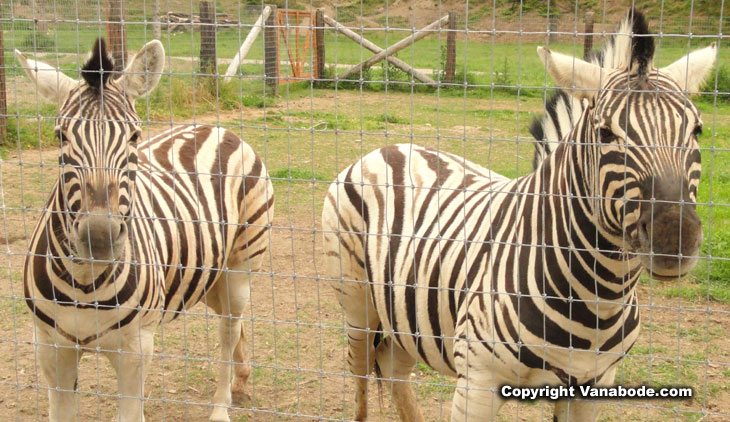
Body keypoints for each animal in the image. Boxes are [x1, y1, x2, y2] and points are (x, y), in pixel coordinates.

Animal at [19, 39, 274, 422]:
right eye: (60, 136)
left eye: (135, 136)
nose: (99, 239)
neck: (84, 280)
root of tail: (215, 127)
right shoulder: (50, 348)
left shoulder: (136, 350)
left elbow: (130, 412)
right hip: (208, 274)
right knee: (232, 322)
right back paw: (241, 378)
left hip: (241, 265)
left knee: (229, 328)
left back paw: (221, 405)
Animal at [321, 10, 714, 422]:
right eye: (606, 133)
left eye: (697, 130)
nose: (675, 239)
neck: (598, 297)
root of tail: (390, 147)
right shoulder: (477, 383)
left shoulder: (593, 386)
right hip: (357, 303)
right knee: (360, 374)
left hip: (404, 316)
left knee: (395, 369)